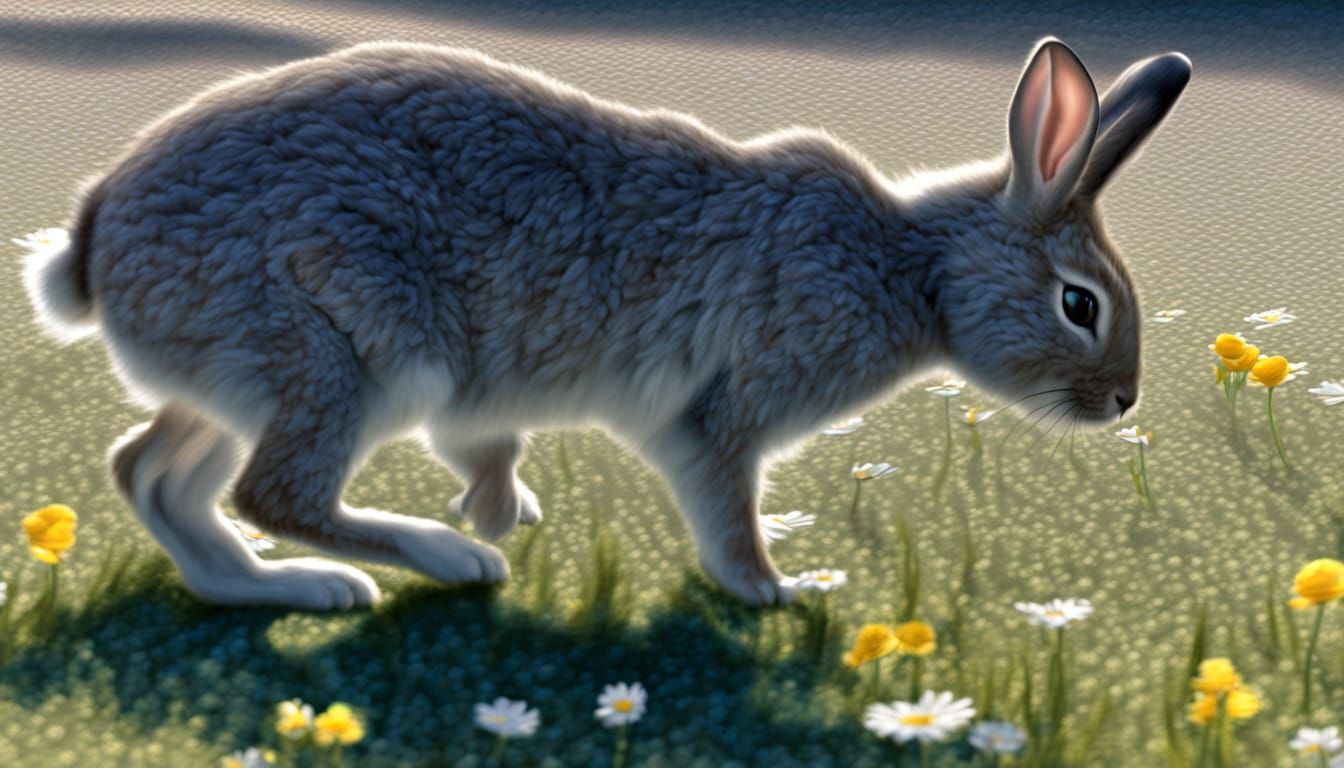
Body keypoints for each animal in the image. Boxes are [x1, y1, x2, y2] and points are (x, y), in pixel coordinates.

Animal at [21, 38, 1189, 610]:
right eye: (1079, 304)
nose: (1122, 400)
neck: (918, 269)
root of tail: (97, 238)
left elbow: (491, 449)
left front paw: (503, 505)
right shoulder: (720, 417)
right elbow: (725, 508)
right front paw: (777, 595)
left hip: (237, 379)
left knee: (150, 474)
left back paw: (276, 591)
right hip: (351, 353)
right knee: (277, 493)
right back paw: (439, 565)